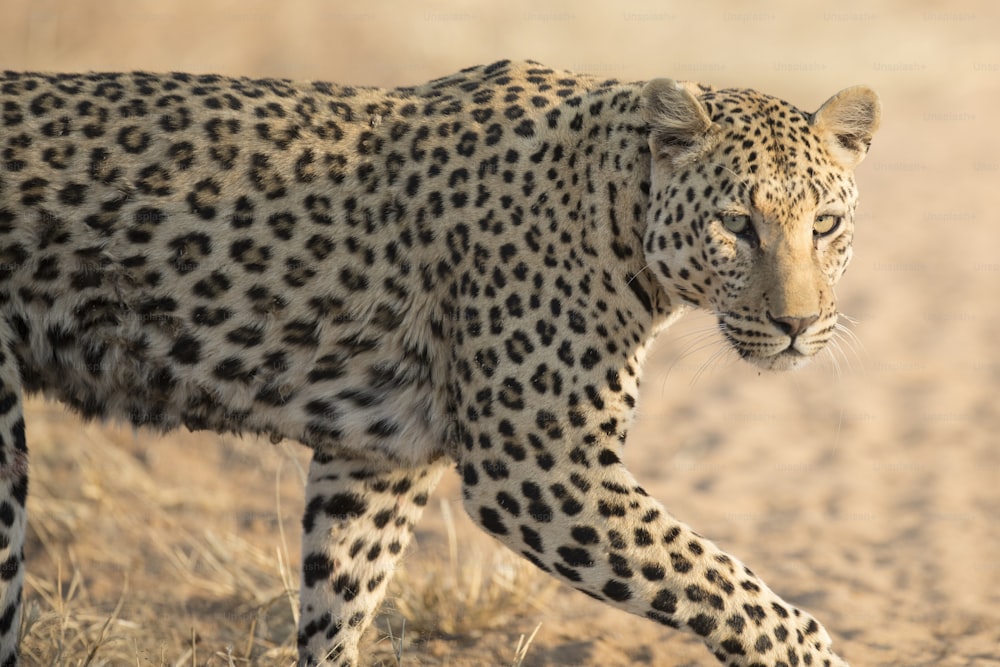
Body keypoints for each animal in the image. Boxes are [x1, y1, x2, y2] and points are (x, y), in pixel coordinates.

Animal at [0, 60, 880, 664]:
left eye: (826, 224)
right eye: (736, 224)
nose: (798, 325)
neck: (618, 210)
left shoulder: (379, 459)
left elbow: (338, 602)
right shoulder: (541, 466)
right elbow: (730, 588)